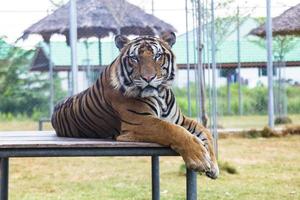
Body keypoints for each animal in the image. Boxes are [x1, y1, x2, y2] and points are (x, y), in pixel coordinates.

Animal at [51, 32, 219, 179]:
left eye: (157, 56)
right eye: (134, 58)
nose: (148, 78)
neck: (161, 95)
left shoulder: (180, 120)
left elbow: (205, 131)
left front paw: (213, 165)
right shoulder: (140, 121)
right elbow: (173, 130)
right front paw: (199, 159)